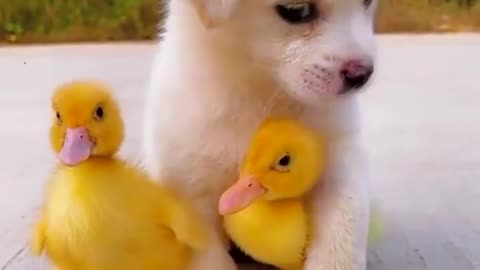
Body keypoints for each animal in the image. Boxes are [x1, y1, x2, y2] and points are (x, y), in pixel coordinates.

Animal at [144, 1, 376, 268]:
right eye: (296, 11)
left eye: (368, 2)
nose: (362, 75)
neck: (261, 92)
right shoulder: (190, 193)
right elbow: (210, 256)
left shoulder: (340, 166)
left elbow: (343, 230)